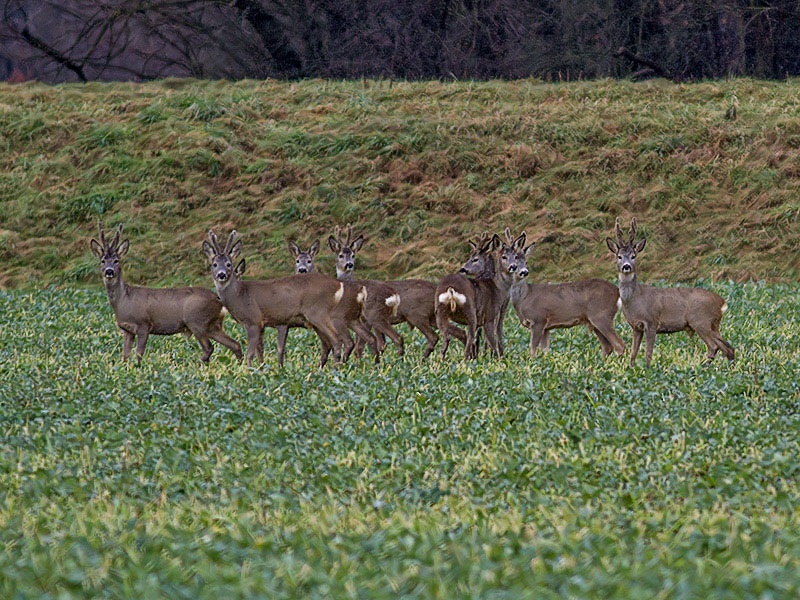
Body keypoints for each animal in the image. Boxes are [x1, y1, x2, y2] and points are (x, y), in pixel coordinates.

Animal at [89, 224, 242, 364]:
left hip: (196, 321)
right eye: (102, 261)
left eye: (116, 261)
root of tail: (219, 300)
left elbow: (139, 355)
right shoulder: (127, 330)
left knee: (209, 348)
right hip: (212, 325)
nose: (109, 271)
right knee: (235, 344)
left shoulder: (144, 325)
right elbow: (125, 357)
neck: (124, 300)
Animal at [200, 230, 344, 368]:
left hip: (318, 312)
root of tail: (338, 285)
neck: (240, 295)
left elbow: (250, 353)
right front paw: (262, 369)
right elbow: (260, 352)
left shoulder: (253, 320)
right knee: (328, 343)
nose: (221, 274)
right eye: (214, 264)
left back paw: (336, 369)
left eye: (229, 264)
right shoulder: (263, 324)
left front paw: (247, 370)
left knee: (336, 339)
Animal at [326, 224, 404, 356]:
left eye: (353, 255)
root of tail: (394, 295)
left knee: (396, 338)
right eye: (340, 255)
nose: (349, 264)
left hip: (374, 314)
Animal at [510, 227, 628, 358]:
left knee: (619, 345)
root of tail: (617, 291)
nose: (524, 272)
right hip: (596, 321)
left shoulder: (538, 319)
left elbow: (533, 350)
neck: (524, 298)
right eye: (514, 264)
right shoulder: (546, 327)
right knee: (608, 346)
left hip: (601, 315)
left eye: (526, 262)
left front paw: (532, 361)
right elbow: (545, 352)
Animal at [608, 218, 736, 368]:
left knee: (713, 346)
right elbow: (633, 353)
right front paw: (632, 369)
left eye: (633, 256)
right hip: (714, 324)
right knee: (728, 347)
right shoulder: (636, 327)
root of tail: (722, 303)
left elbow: (648, 353)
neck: (635, 299)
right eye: (619, 256)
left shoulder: (652, 321)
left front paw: (647, 370)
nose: (626, 266)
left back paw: (703, 367)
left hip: (701, 321)